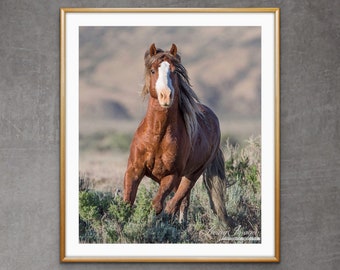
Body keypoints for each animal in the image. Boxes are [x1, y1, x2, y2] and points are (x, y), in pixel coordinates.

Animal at [123, 43, 232, 228]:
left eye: (174, 71)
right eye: (153, 70)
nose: (166, 96)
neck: (157, 136)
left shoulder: (171, 175)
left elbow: (157, 205)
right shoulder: (134, 170)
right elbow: (127, 202)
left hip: (191, 175)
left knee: (179, 202)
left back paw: (179, 225)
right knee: (180, 202)